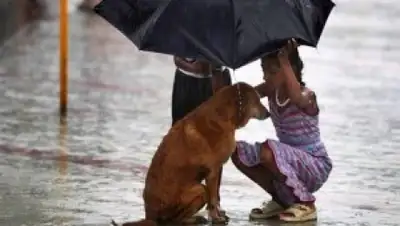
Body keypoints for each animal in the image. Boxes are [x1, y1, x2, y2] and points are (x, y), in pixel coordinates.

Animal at [111, 82, 270, 225]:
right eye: (257, 101)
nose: (269, 113)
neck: (224, 115)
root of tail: (149, 216)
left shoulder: (216, 170)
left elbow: (215, 198)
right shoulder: (213, 171)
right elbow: (213, 200)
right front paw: (216, 218)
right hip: (199, 190)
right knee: (173, 220)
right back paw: (193, 219)